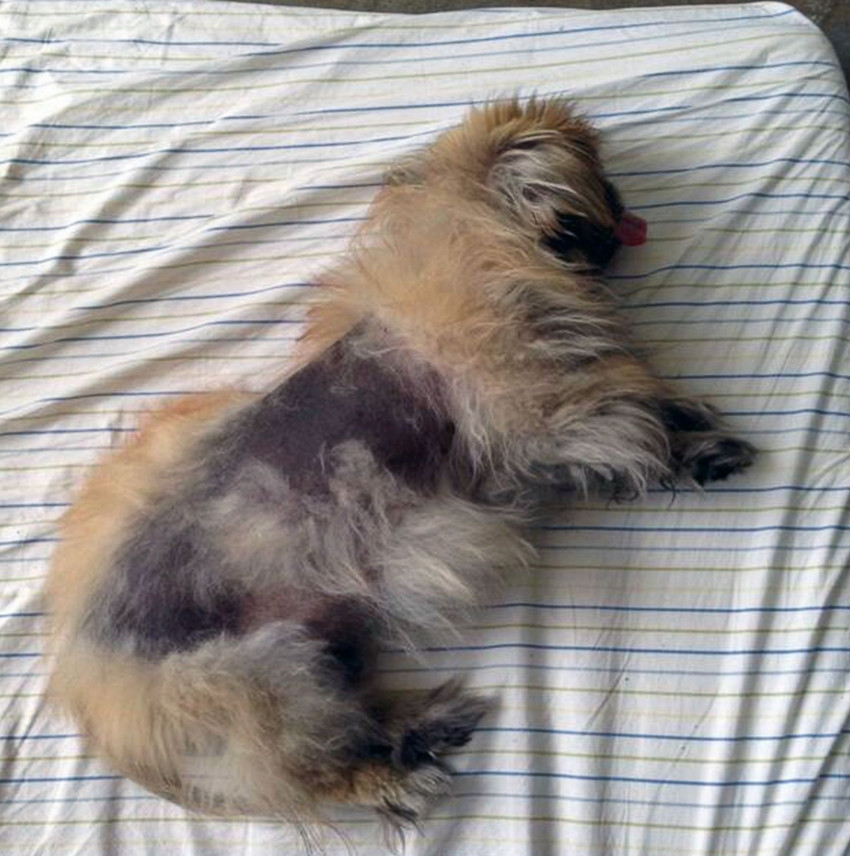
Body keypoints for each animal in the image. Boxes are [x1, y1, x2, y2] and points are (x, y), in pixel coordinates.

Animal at [45, 98, 755, 840]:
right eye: (603, 185)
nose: (624, 206)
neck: (479, 225)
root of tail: (91, 697)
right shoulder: (543, 417)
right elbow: (636, 420)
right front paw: (693, 444)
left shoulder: (547, 429)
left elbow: (641, 403)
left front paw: (697, 434)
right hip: (270, 683)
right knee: (321, 774)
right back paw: (404, 775)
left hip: (318, 657)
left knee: (359, 724)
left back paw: (427, 725)